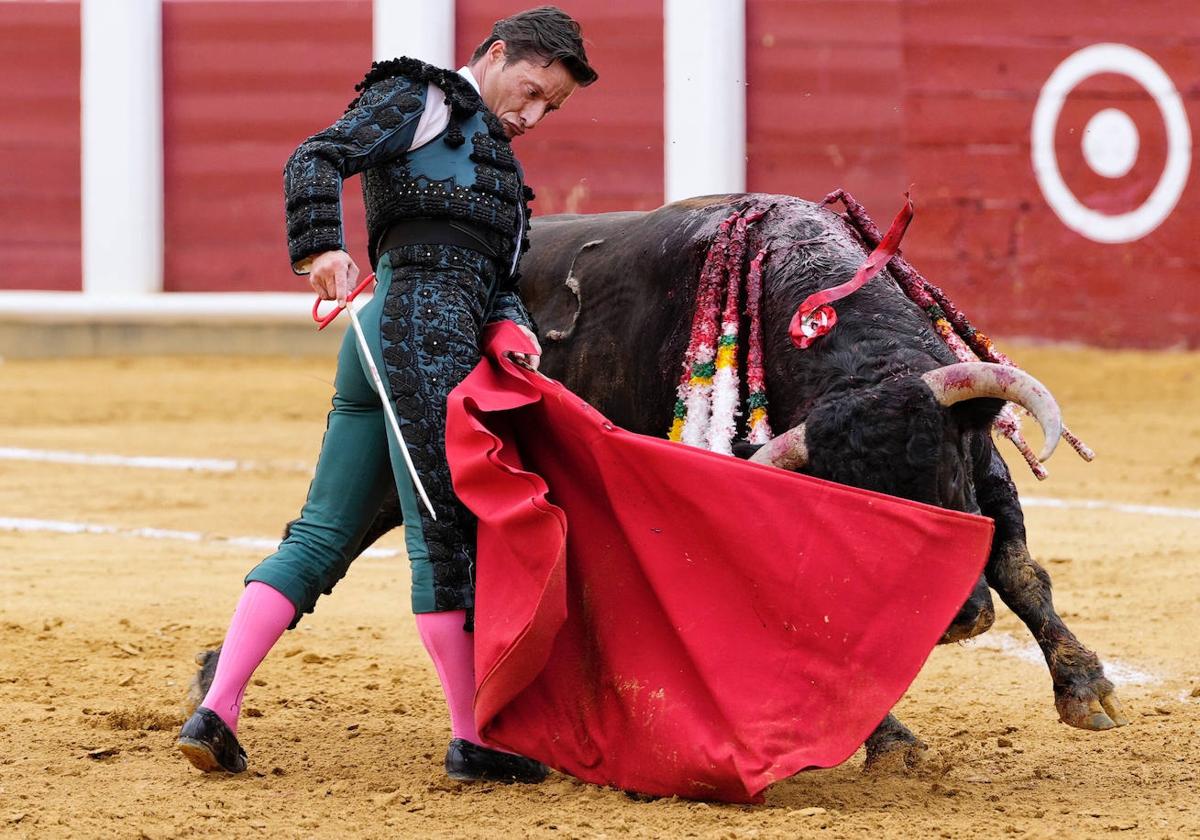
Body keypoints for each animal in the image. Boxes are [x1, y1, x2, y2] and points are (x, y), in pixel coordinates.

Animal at [192, 193, 1128, 772]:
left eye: (940, 467)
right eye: (863, 504)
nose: (958, 619)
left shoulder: (988, 473)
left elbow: (1022, 572)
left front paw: (1086, 691)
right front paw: (887, 739)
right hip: (404, 477)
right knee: (332, 554)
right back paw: (214, 702)